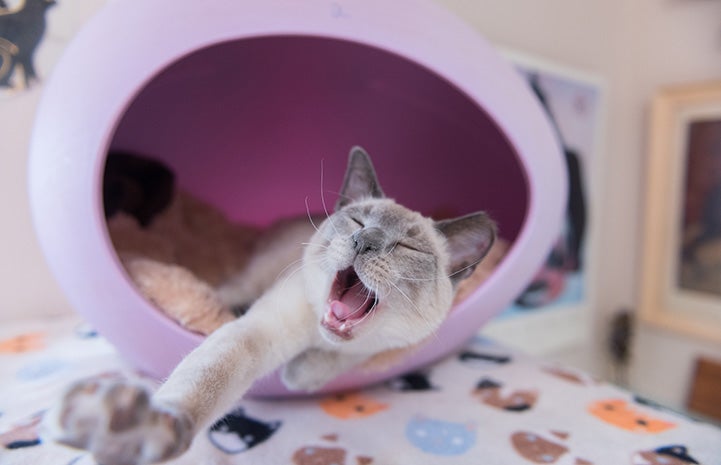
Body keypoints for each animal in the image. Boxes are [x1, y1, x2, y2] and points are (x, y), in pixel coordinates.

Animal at [43, 146, 496, 464]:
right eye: (358, 222)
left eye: (407, 247)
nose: (363, 242)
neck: (322, 335)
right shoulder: (256, 334)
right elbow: (202, 383)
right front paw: (143, 430)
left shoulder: (390, 346)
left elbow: (343, 358)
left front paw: (302, 372)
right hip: (247, 279)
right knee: (222, 294)